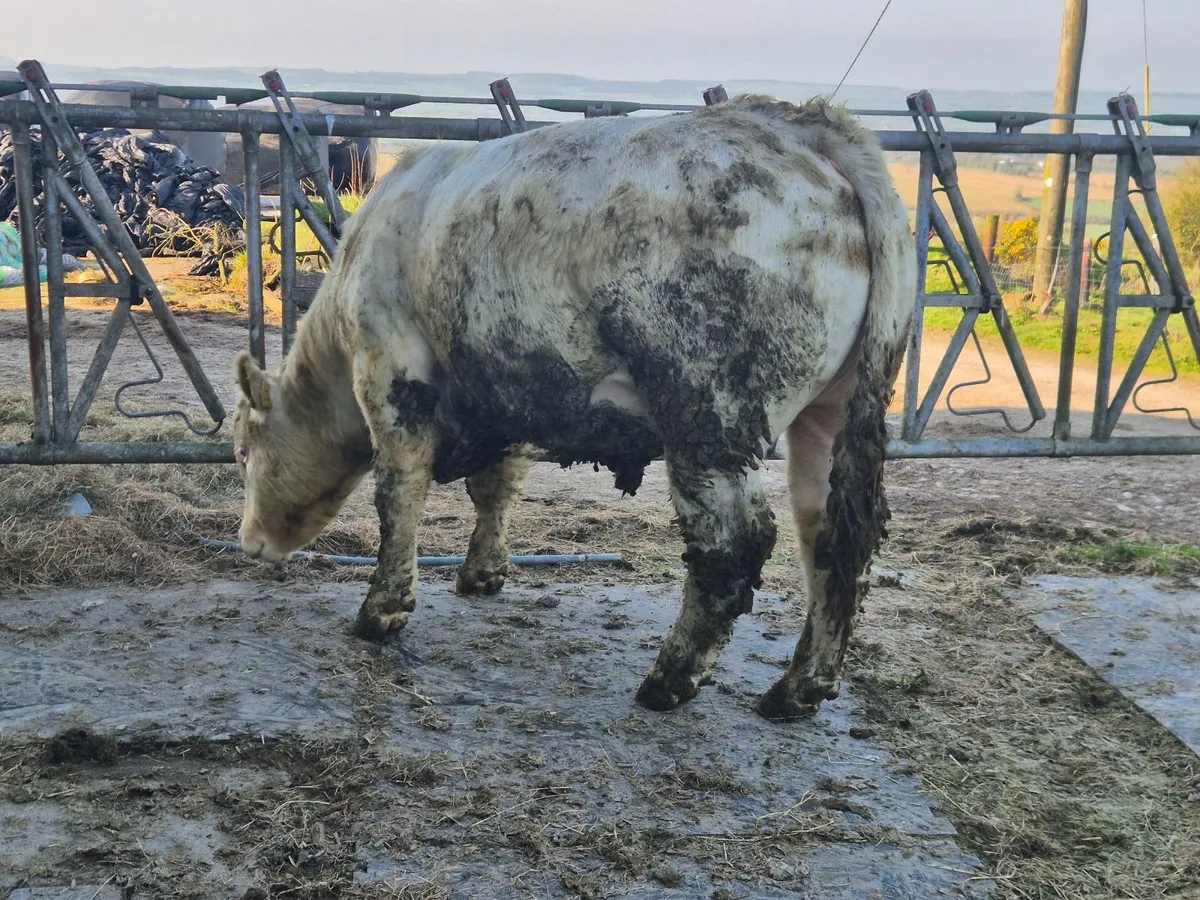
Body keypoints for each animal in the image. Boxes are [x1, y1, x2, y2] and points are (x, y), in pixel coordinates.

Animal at [231, 95, 915, 720]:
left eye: (242, 454)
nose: (248, 543)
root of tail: (798, 126)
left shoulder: (392, 371)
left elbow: (400, 493)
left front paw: (382, 610)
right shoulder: (508, 392)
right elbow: (496, 486)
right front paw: (483, 573)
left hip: (709, 415)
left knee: (732, 544)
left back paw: (671, 679)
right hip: (829, 414)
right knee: (831, 536)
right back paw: (799, 689)